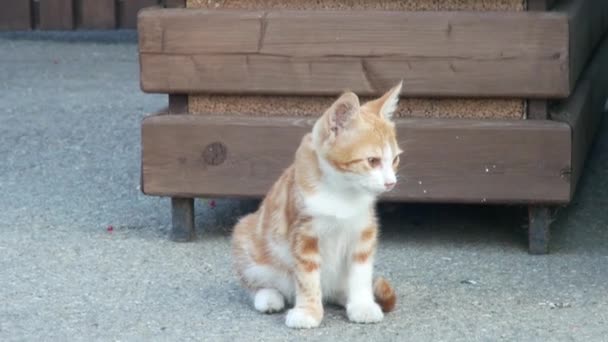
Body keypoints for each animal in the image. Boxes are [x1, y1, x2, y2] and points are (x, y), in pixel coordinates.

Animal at [230, 82, 402, 328]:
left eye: (395, 160)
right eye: (372, 161)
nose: (390, 182)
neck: (342, 192)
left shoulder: (363, 231)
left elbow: (361, 272)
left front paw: (362, 305)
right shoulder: (304, 233)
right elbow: (307, 276)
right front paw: (308, 311)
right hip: (246, 235)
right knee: (255, 279)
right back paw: (268, 296)